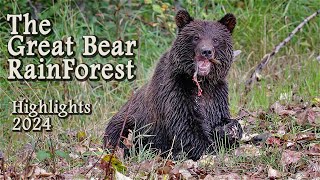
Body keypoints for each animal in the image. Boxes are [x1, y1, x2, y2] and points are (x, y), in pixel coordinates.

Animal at [105, 9, 242, 160]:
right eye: (196, 37)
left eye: (216, 39)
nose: (206, 51)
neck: (201, 83)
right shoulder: (175, 90)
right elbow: (185, 126)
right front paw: (209, 150)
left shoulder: (216, 93)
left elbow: (220, 118)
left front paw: (231, 129)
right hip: (128, 122)